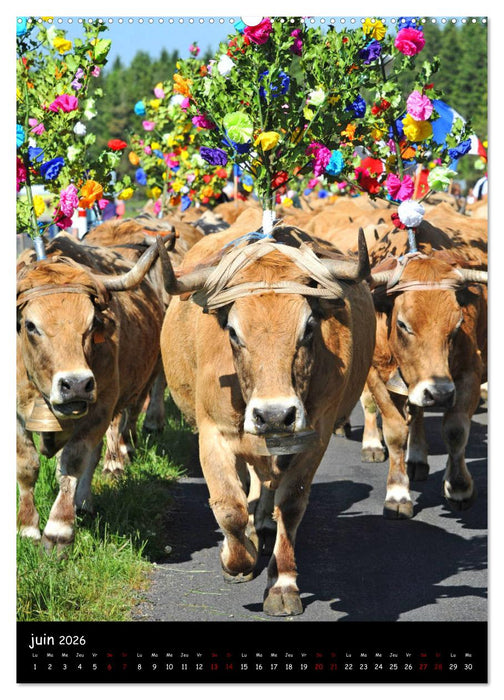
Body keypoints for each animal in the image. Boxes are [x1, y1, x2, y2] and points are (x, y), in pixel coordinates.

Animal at [16, 236, 165, 551]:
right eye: (31, 325)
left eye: (91, 324)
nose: (75, 384)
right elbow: (26, 465)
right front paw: (27, 528)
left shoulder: (100, 409)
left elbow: (74, 460)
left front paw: (59, 529)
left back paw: (83, 501)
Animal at [157, 214, 376, 616]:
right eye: (232, 331)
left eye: (309, 327)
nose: (275, 414)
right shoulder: (213, 434)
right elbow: (229, 507)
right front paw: (236, 558)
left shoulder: (314, 437)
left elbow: (290, 505)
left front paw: (282, 584)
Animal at [363, 250, 487, 518]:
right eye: (402, 324)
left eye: (458, 323)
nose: (439, 394)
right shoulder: (375, 376)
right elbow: (396, 432)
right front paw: (398, 493)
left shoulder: (468, 374)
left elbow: (455, 431)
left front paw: (458, 487)